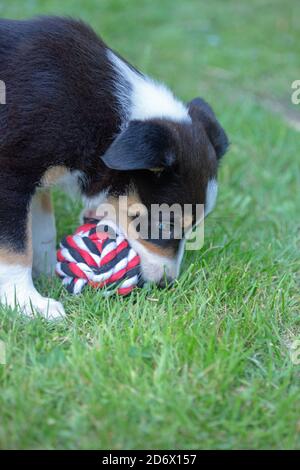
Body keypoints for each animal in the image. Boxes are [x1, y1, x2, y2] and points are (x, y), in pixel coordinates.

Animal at [0, 16, 229, 318]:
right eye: (165, 223)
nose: (166, 284)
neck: (113, 125)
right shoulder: (11, 174)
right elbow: (15, 246)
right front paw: (27, 303)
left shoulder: (38, 178)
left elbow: (42, 232)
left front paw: (51, 274)